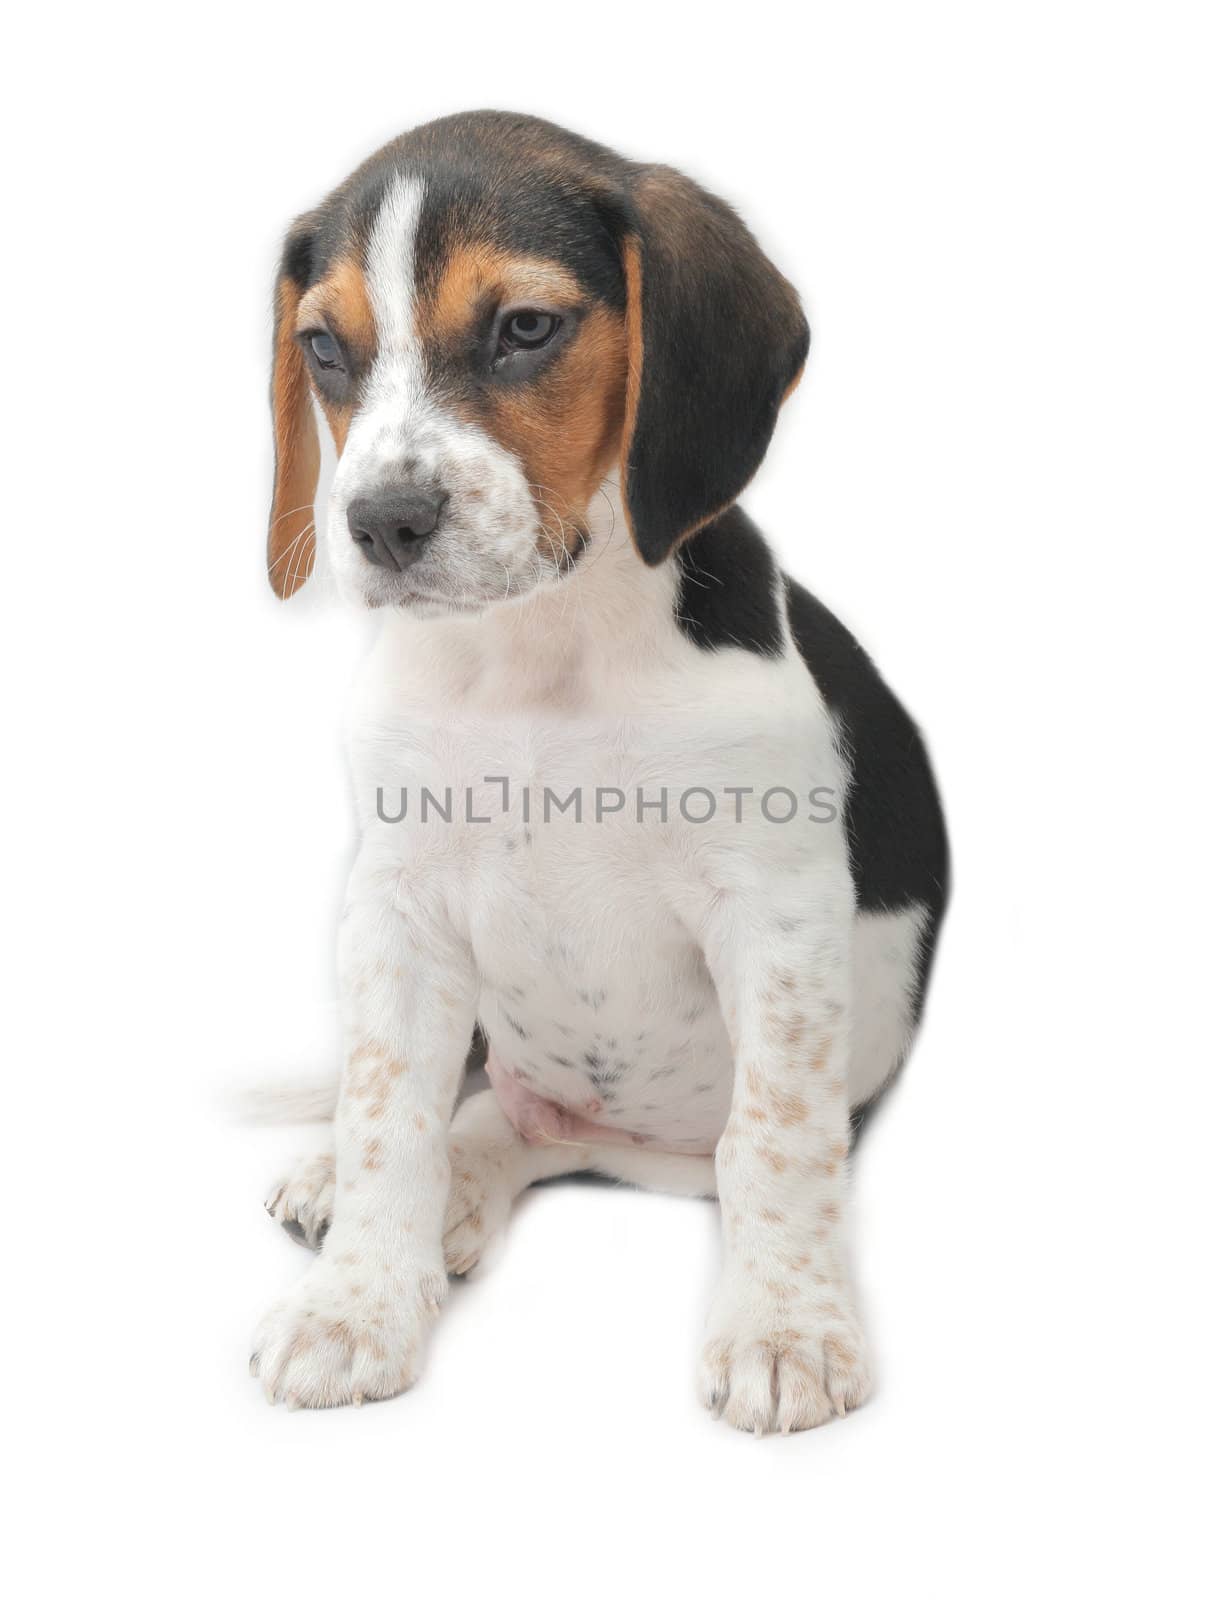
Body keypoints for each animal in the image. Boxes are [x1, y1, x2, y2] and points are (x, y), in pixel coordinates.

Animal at [256, 116, 947, 1440]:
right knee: (479, 1103)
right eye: (322, 347)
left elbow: (774, 1141)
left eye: (525, 327)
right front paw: (355, 1305)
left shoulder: (773, 916)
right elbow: (386, 1113)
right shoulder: (395, 910)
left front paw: (784, 1328)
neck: (543, 649)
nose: (381, 522)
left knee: (543, 1130)